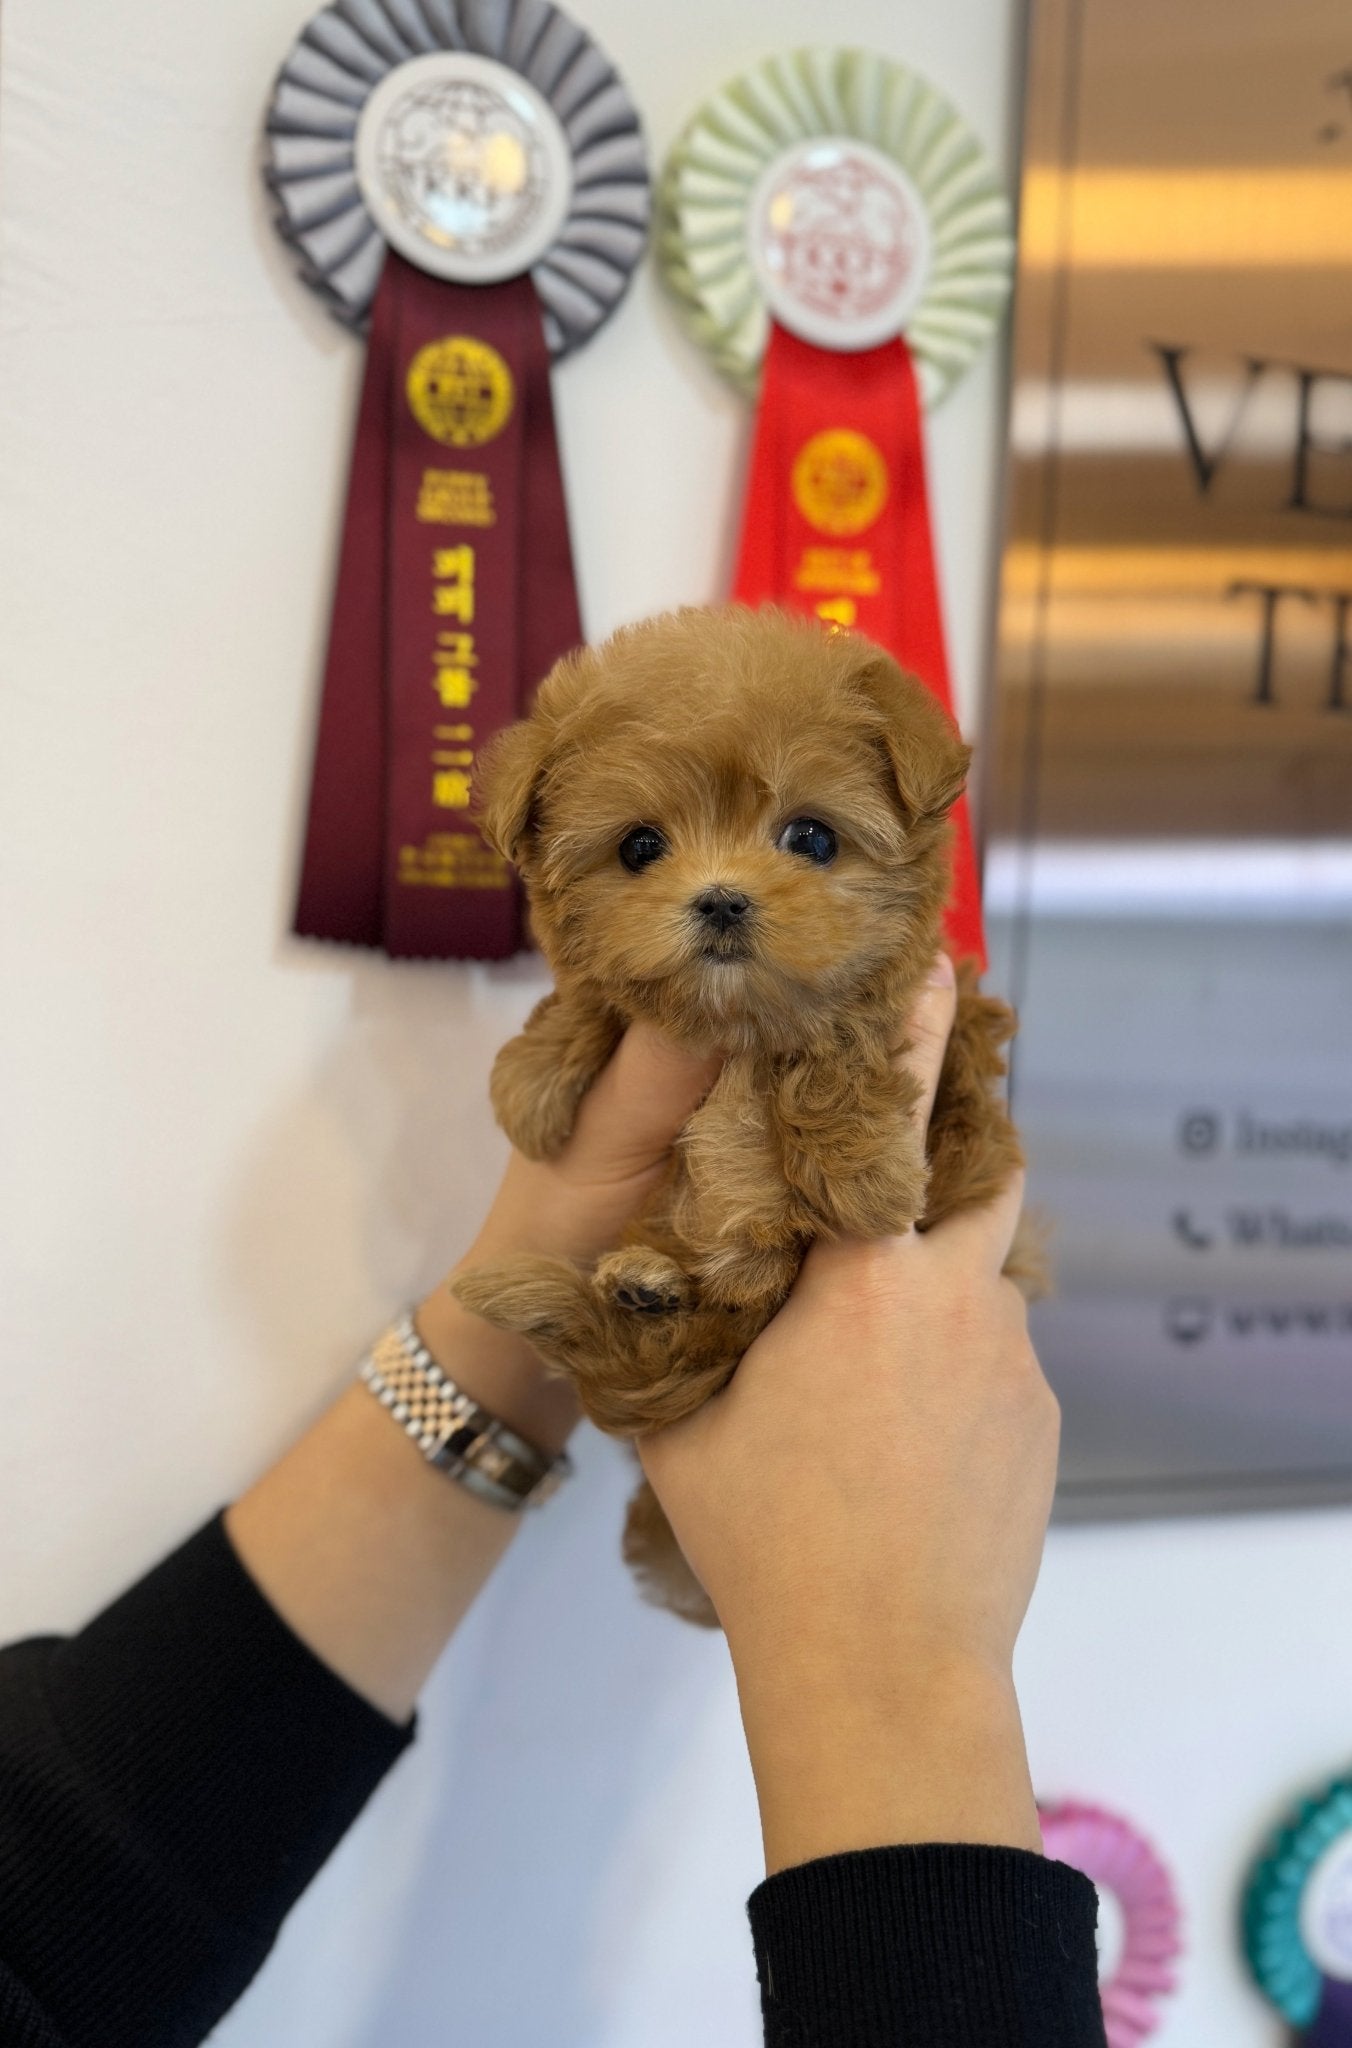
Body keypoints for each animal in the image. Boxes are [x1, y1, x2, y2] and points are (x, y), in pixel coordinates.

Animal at [454, 598, 1024, 1622]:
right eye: (640, 846)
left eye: (813, 838)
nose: (720, 902)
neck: (737, 1028)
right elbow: (594, 998)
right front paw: (535, 1078)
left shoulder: (939, 1029)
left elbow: (839, 1040)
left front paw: (859, 1171)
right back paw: (647, 1281)